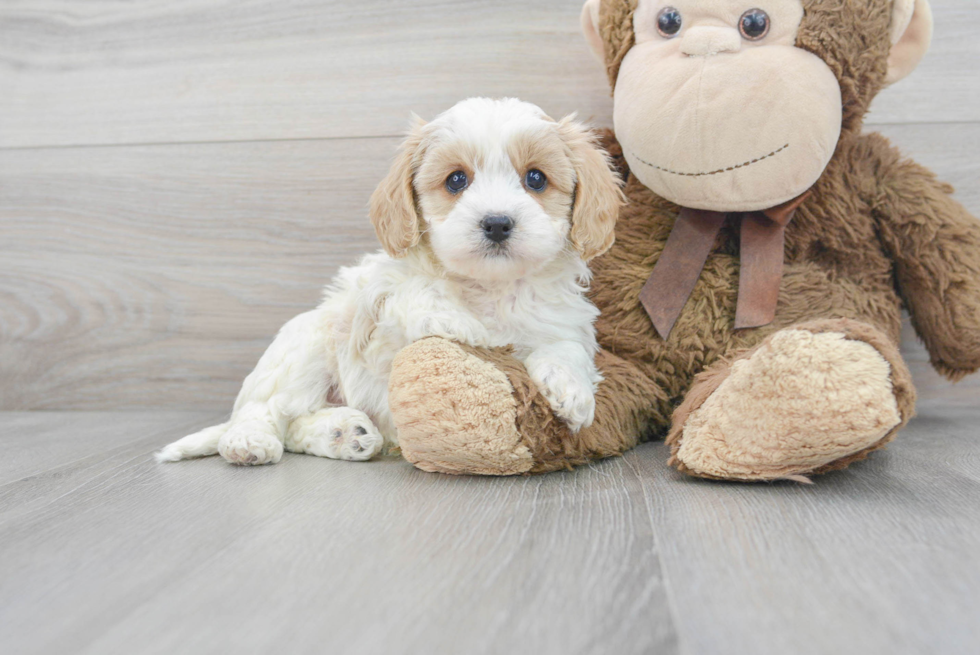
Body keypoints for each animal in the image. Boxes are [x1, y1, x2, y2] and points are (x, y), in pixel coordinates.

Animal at [158, 97, 624, 466]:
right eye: (457, 179)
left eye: (536, 179)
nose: (496, 223)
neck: (488, 287)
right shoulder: (378, 301)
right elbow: (415, 294)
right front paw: (465, 326)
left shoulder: (561, 321)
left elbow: (565, 347)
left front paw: (571, 391)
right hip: (305, 344)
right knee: (265, 408)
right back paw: (248, 442)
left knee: (295, 426)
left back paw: (344, 434)